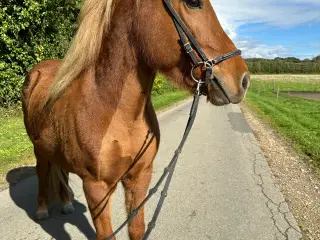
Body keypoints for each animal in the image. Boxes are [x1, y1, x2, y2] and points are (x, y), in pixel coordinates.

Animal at [21, 0, 250, 238]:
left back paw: (66, 204)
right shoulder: (96, 187)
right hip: (39, 150)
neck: (116, 113)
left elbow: (137, 229)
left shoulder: (140, 177)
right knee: (42, 173)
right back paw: (42, 210)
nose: (243, 80)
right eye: (193, 3)